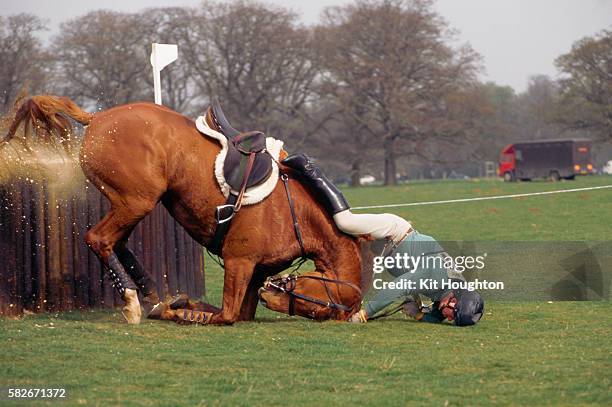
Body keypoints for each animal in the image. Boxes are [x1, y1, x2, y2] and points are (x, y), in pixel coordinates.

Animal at [3, 95, 364, 326]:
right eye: (316, 305)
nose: (268, 296)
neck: (297, 215)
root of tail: (97, 118)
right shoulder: (239, 262)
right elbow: (225, 316)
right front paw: (177, 311)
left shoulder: (255, 271)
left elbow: (232, 311)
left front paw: (177, 302)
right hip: (137, 200)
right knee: (99, 239)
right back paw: (132, 301)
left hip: (131, 203)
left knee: (118, 242)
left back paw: (149, 291)